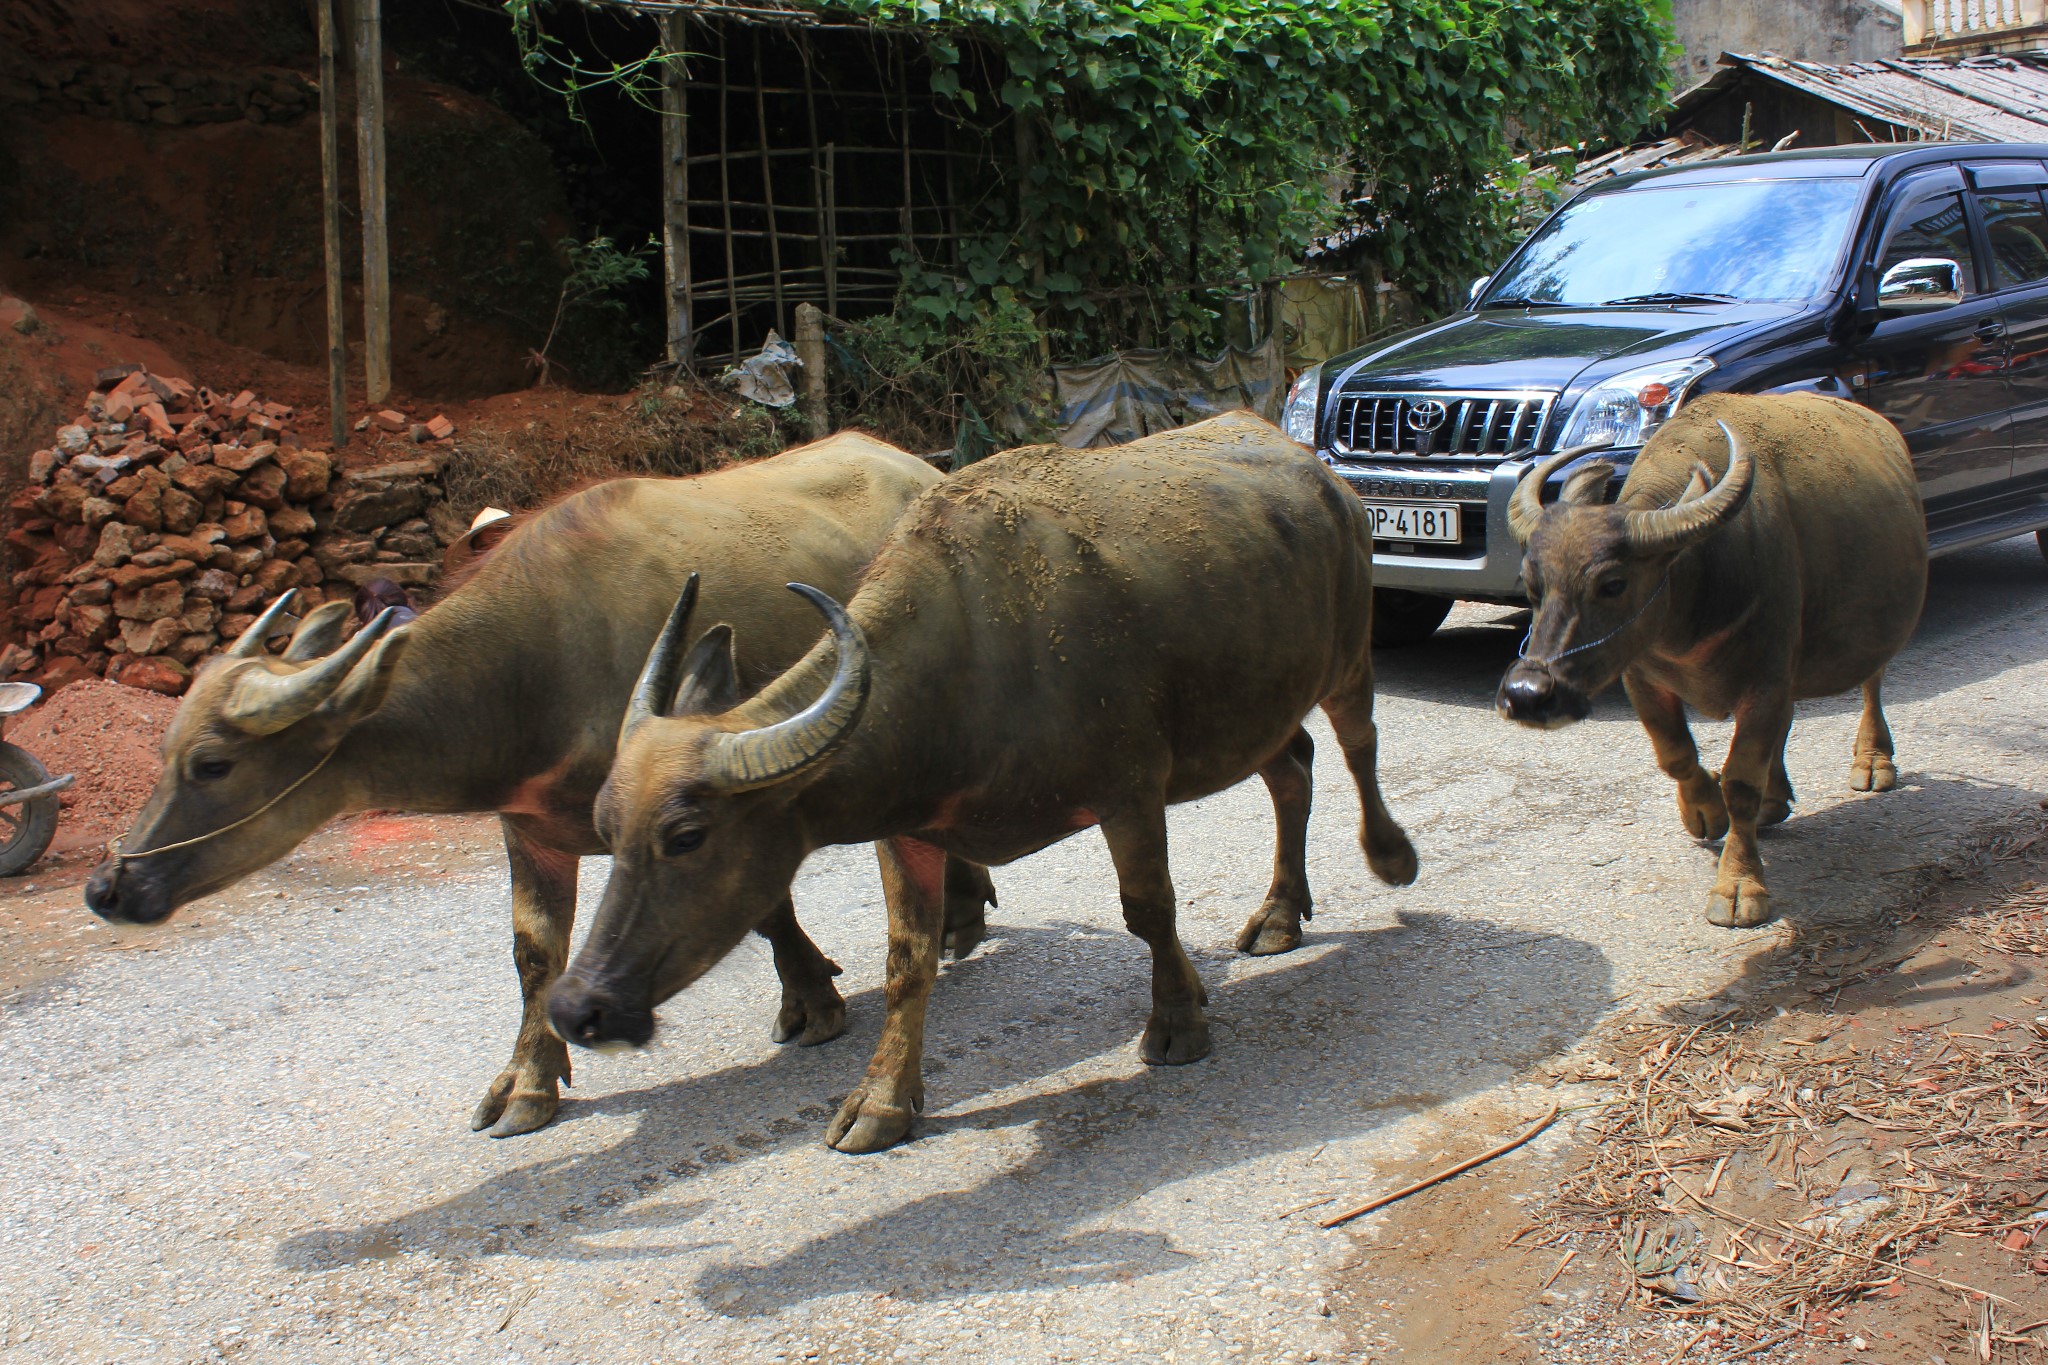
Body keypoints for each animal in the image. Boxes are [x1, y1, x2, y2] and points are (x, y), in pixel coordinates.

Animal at [83, 435, 995, 1129]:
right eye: (164, 750)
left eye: (212, 762)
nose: (108, 886)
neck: (540, 662)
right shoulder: (529, 832)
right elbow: (533, 954)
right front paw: (527, 1079)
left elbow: (761, 904)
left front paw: (813, 1000)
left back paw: (958, 908)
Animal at [548, 413, 1425, 1154]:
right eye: (607, 829)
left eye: (687, 835)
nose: (576, 1006)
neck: (972, 656)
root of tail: (1318, 470)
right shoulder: (904, 831)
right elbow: (907, 959)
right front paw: (881, 1100)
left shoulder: (1131, 791)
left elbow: (1148, 908)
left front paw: (1177, 1020)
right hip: (1253, 707)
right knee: (1292, 770)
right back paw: (1279, 913)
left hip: (1347, 656)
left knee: (1357, 744)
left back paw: (1391, 856)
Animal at [1499, 392, 1925, 929]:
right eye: (1532, 584)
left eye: (1613, 584)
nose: (1527, 695)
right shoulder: (1641, 676)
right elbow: (1675, 754)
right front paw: (1703, 808)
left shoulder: (1765, 680)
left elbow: (1741, 779)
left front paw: (1739, 885)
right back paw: (1775, 798)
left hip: (1874, 636)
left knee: (1872, 683)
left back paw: (1872, 761)